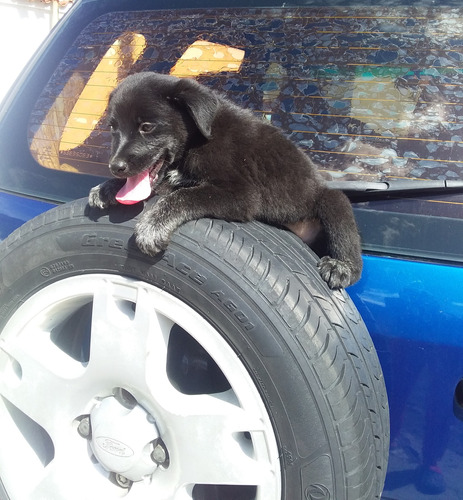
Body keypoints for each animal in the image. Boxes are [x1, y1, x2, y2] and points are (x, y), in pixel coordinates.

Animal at [87, 72, 362, 288]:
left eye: (146, 127)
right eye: (112, 128)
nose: (115, 167)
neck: (198, 138)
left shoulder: (242, 195)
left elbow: (183, 196)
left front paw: (152, 226)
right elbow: (168, 186)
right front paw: (106, 189)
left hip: (331, 201)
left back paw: (342, 267)